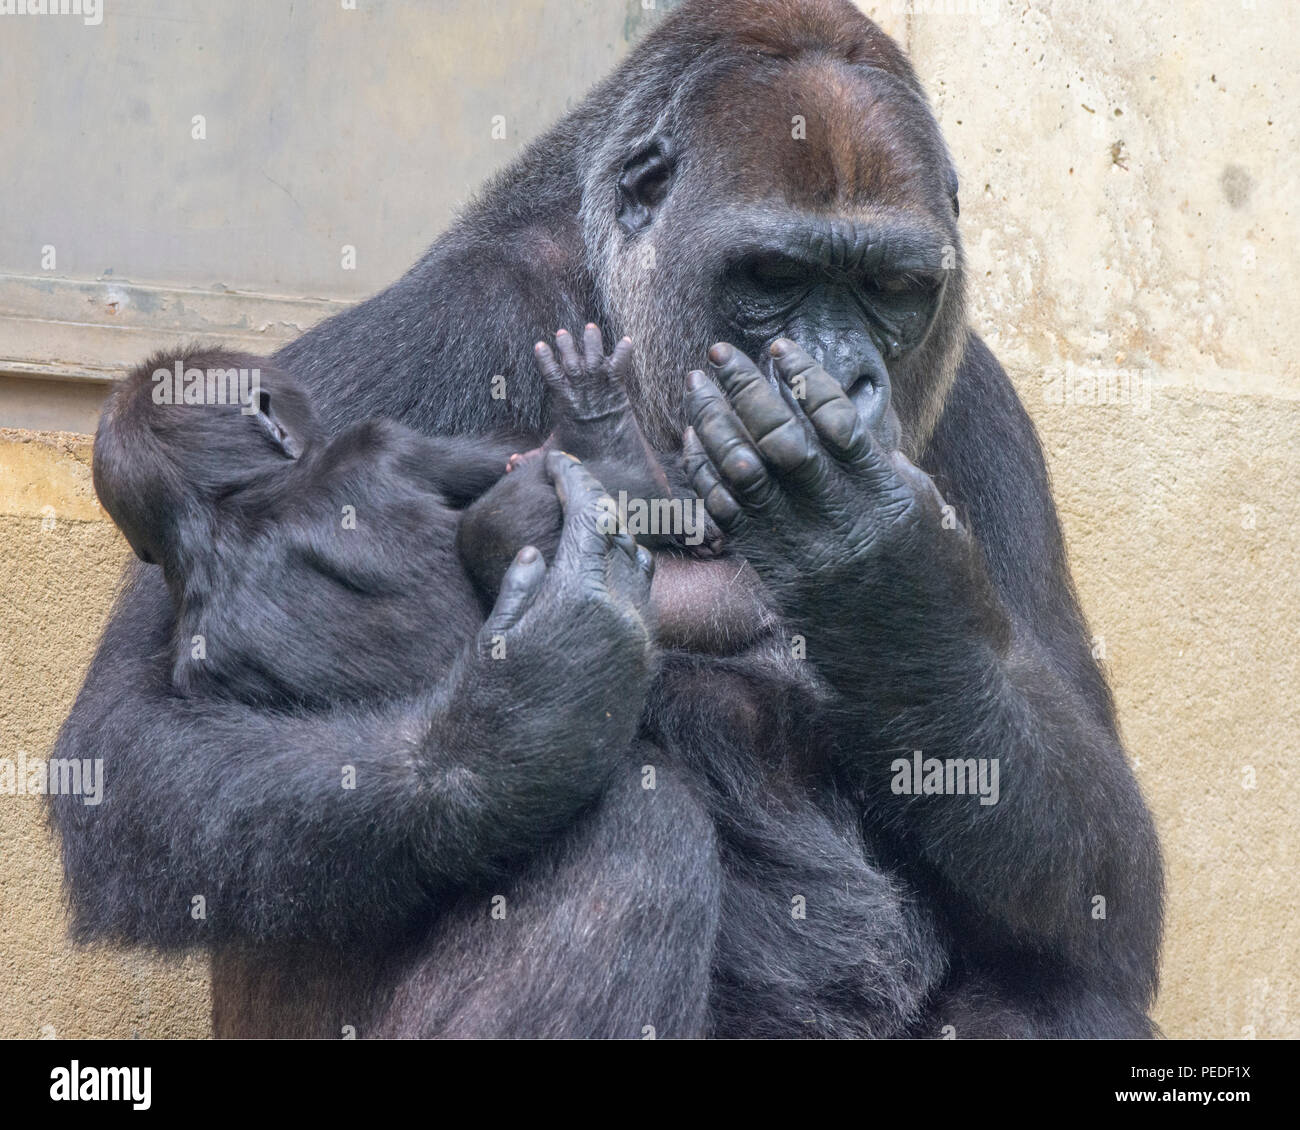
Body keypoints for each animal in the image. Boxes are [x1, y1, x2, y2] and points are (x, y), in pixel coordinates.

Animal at [53, 0, 1170, 1040]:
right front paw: (521, 724)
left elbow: (1109, 877)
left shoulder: (983, 404)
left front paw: (887, 586)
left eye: (891, 287)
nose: (845, 378)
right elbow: (132, 748)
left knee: (1068, 983)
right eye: (773, 276)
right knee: (631, 840)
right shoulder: (432, 327)